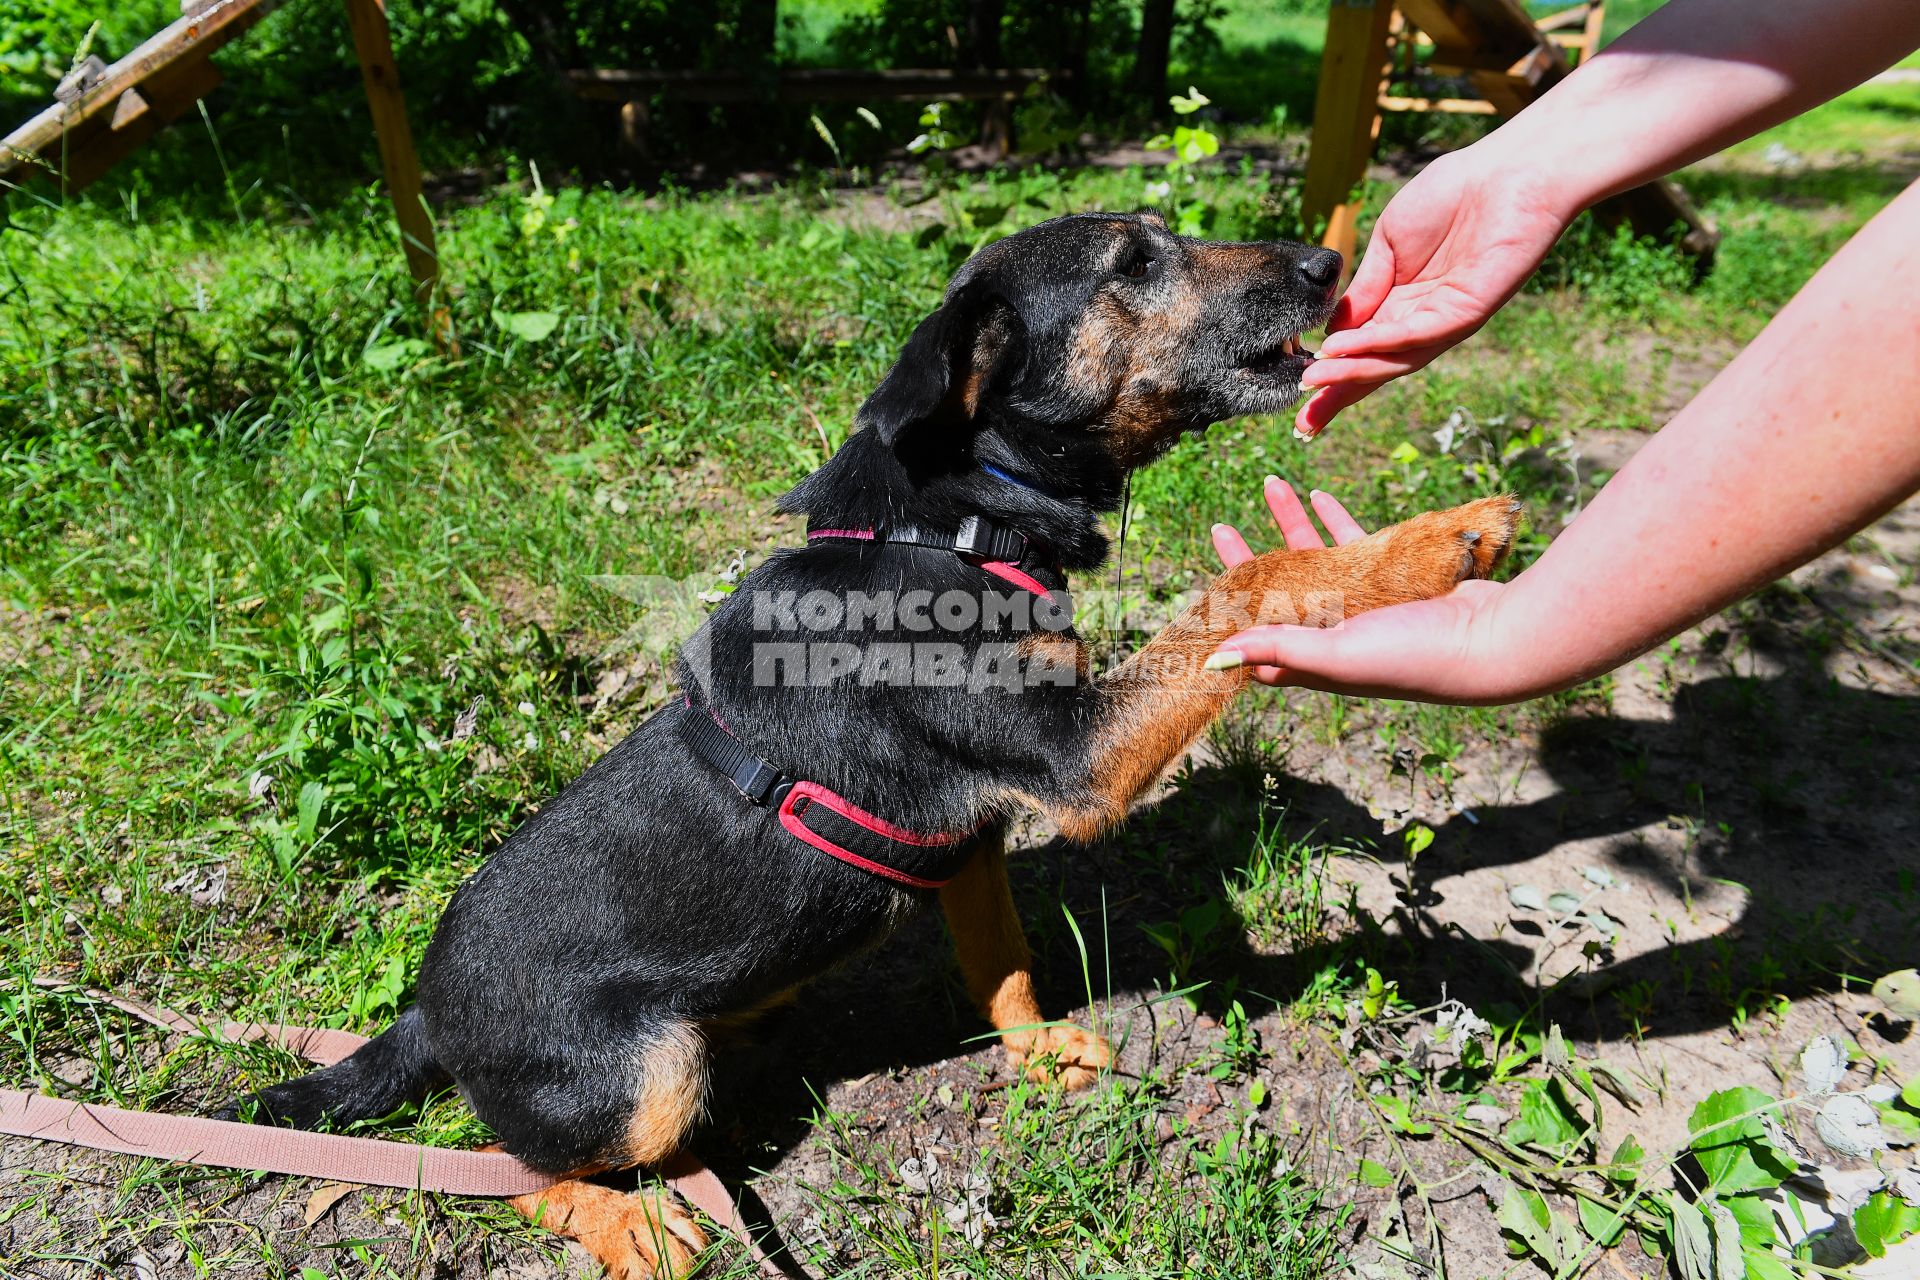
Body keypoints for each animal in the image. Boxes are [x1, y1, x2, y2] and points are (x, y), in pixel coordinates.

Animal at [224, 214, 1512, 1274]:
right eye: (1133, 263)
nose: (1328, 263)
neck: (946, 526)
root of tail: (429, 1014)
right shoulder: (1080, 756)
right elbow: (1249, 579)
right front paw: (1436, 539)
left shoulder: (975, 834)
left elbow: (1004, 960)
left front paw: (1036, 1052)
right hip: (642, 1075)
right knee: (505, 1164)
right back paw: (635, 1223)